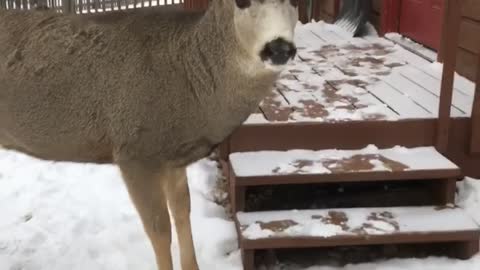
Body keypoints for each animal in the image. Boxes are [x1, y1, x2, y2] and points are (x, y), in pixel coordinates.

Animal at [0, 1, 298, 268]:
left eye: (295, 1)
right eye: (242, 1)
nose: (280, 48)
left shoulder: (173, 158)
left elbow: (182, 212)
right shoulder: (135, 152)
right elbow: (159, 229)